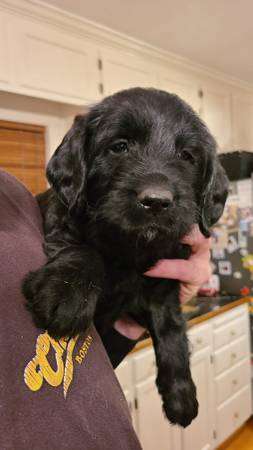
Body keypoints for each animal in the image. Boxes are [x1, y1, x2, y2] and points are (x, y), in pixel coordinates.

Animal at [22, 87, 228, 426]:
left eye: (187, 156)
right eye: (119, 146)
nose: (157, 201)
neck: (130, 249)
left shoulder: (164, 286)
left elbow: (172, 332)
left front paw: (182, 395)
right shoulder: (61, 221)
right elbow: (84, 250)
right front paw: (66, 295)